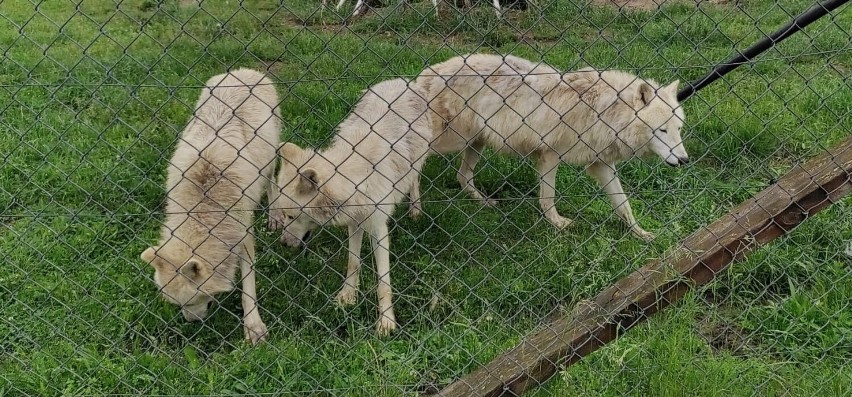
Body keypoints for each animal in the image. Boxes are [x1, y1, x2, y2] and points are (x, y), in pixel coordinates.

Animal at [139, 68, 280, 344]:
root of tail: (244, 70)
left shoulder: (243, 232)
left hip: (270, 161)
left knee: (271, 183)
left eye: (196, 299)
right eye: (177, 304)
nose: (192, 322)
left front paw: (253, 326)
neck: (204, 205)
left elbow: (248, 286)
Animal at [272, 76, 432, 334]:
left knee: (415, 180)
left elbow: (383, 282)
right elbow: (353, 262)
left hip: (418, 160)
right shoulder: (354, 222)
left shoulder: (378, 227)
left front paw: (386, 322)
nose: (284, 244)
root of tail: (402, 80)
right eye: (284, 215)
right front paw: (347, 296)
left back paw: (415, 210)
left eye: (291, 217)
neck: (358, 180)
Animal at [414, 53, 692, 240]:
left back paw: (483, 202)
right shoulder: (550, 156)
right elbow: (547, 197)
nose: (684, 160)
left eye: (678, 129)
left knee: (462, 176)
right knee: (413, 165)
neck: (604, 113)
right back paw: (415, 212)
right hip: (451, 140)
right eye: (661, 130)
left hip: (476, 142)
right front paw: (557, 223)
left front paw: (641, 233)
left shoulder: (602, 164)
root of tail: (426, 74)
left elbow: (623, 205)